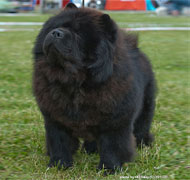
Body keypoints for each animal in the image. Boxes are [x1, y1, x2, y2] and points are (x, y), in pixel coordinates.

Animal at [32, 2, 157, 172]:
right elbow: (59, 143)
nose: (56, 32)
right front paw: (59, 165)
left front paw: (109, 169)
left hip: (146, 107)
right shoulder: (55, 119)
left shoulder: (116, 122)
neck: (74, 83)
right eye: (55, 27)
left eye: (78, 34)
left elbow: (112, 147)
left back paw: (144, 143)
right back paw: (90, 149)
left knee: (142, 126)